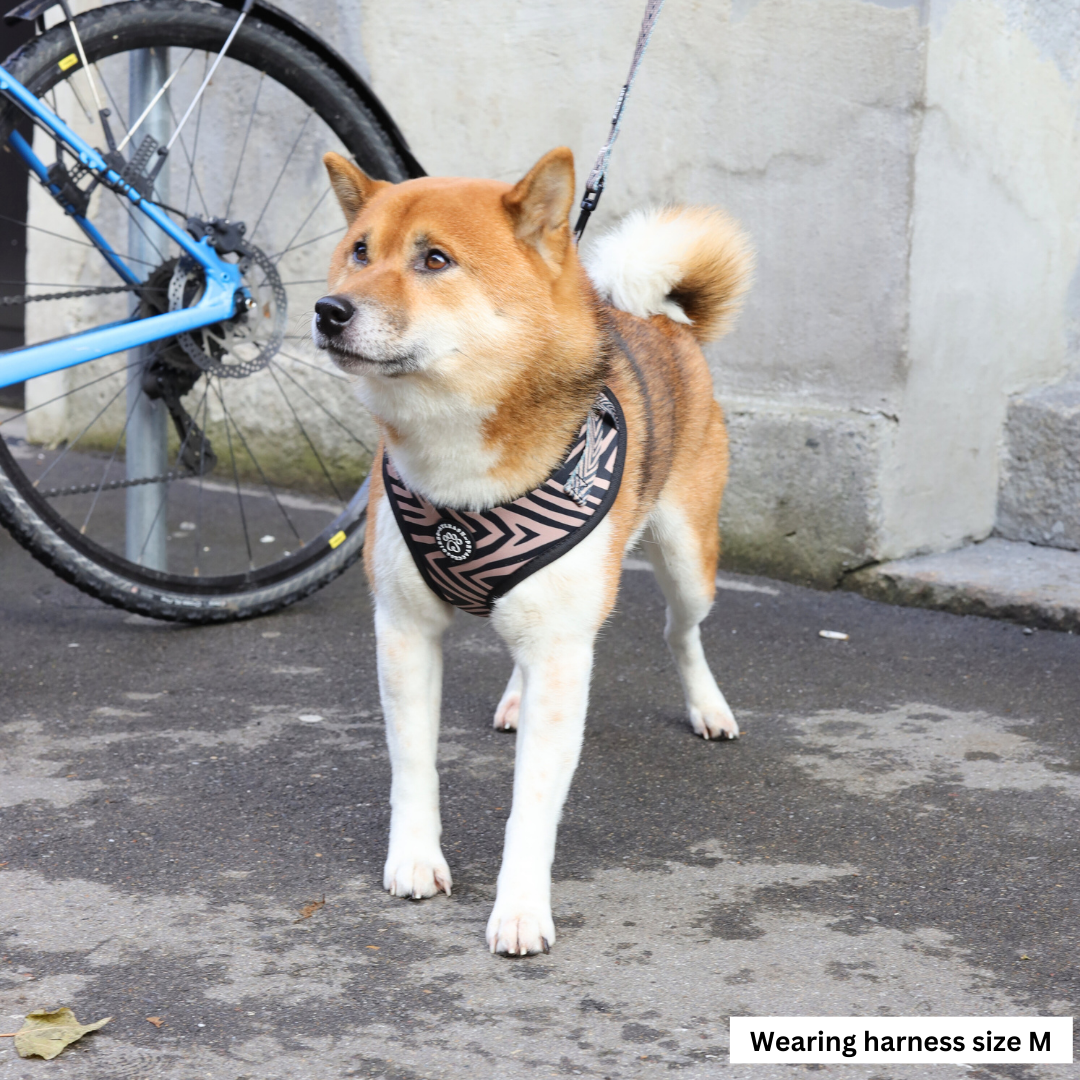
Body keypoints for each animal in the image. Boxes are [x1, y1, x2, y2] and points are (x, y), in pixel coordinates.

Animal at [313, 147, 751, 959]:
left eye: (435, 259)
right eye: (359, 251)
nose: (329, 310)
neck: (458, 470)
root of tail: (662, 318)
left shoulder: (561, 649)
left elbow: (533, 804)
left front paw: (519, 908)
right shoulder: (404, 630)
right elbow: (412, 764)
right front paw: (414, 859)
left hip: (686, 560)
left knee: (681, 631)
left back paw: (707, 705)